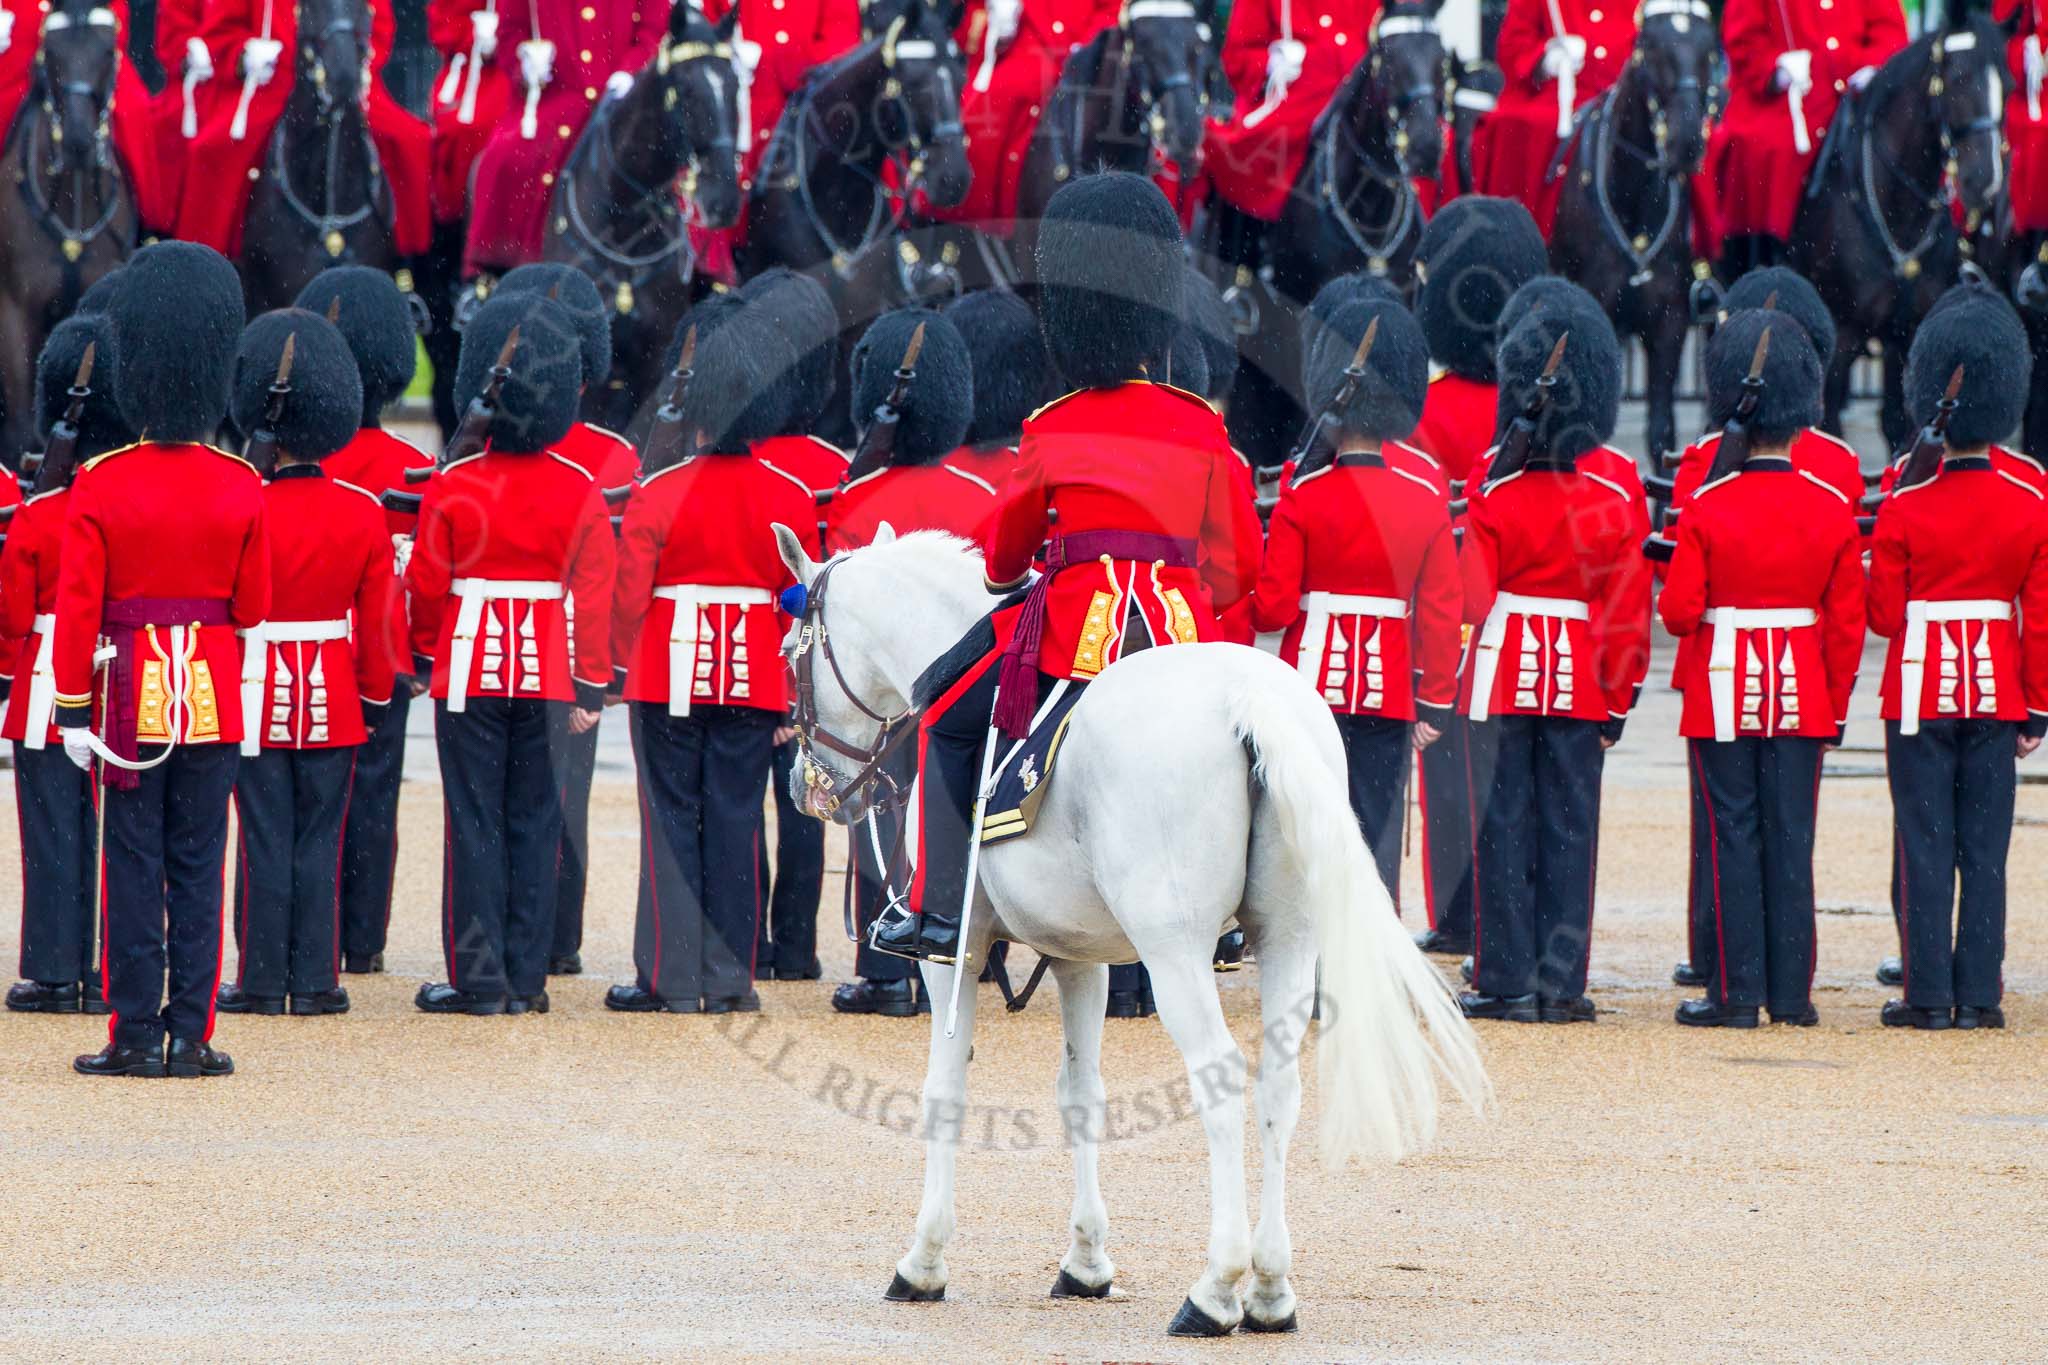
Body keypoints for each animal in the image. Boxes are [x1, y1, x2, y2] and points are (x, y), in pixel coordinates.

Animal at [772, 525, 1488, 1335]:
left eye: (790, 653)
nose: (810, 788)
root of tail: (1250, 699)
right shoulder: (1080, 955)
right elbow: (1081, 1090)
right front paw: (1086, 1262)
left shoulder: (956, 952)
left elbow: (944, 1088)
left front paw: (923, 1262)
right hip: (1289, 939)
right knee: (1278, 1086)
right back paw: (1271, 1290)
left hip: (1175, 953)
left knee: (1220, 1079)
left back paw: (1214, 1290)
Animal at [1790, 12, 2012, 451]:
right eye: (1957, 77)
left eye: (2007, 86)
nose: (1985, 182)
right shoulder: (1842, 338)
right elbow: (1829, 427)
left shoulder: (1909, 335)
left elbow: (1901, 428)